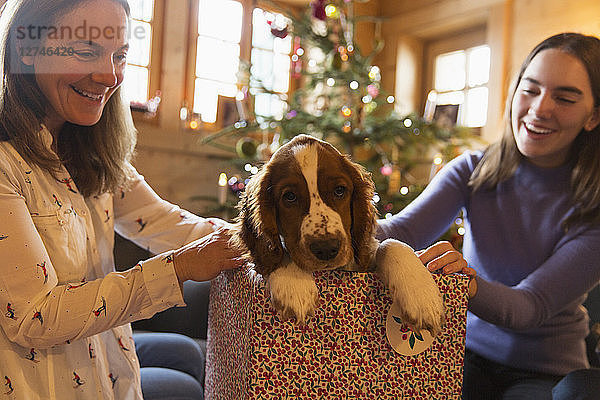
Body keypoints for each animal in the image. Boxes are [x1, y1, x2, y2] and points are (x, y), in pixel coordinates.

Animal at [232, 134, 442, 334]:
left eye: (339, 190)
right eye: (289, 197)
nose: (326, 248)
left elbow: (391, 243)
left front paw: (422, 298)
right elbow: (279, 249)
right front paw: (294, 288)